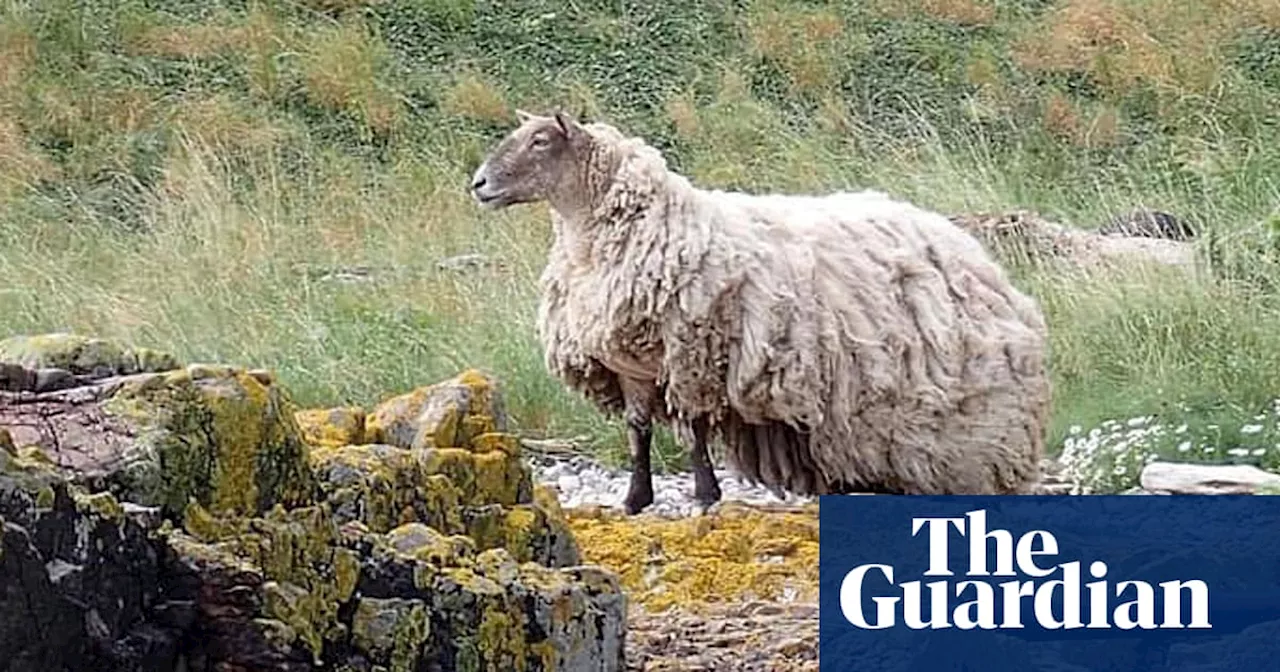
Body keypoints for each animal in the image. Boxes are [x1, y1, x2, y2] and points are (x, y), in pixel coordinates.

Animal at [471, 108, 1049, 514]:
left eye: (540, 140)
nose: (478, 183)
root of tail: (979, 259)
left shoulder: (691, 353)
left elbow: (694, 430)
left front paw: (706, 496)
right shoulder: (628, 364)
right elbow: (638, 432)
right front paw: (635, 500)